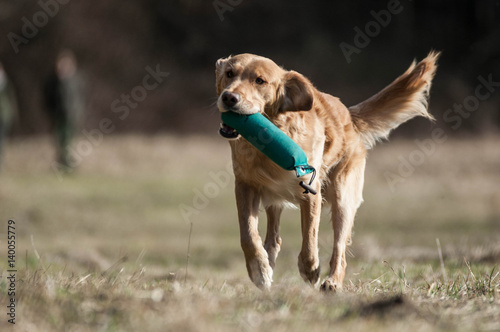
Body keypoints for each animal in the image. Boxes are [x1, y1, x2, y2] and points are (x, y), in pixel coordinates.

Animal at [215, 51, 438, 290]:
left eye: (259, 81)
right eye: (229, 73)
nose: (229, 98)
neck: (266, 144)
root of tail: (349, 116)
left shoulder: (311, 191)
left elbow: (310, 237)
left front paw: (310, 270)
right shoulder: (245, 187)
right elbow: (248, 234)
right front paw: (259, 269)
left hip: (343, 197)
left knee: (340, 248)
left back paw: (332, 282)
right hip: (276, 200)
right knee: (274, 239)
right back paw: (269, 263)